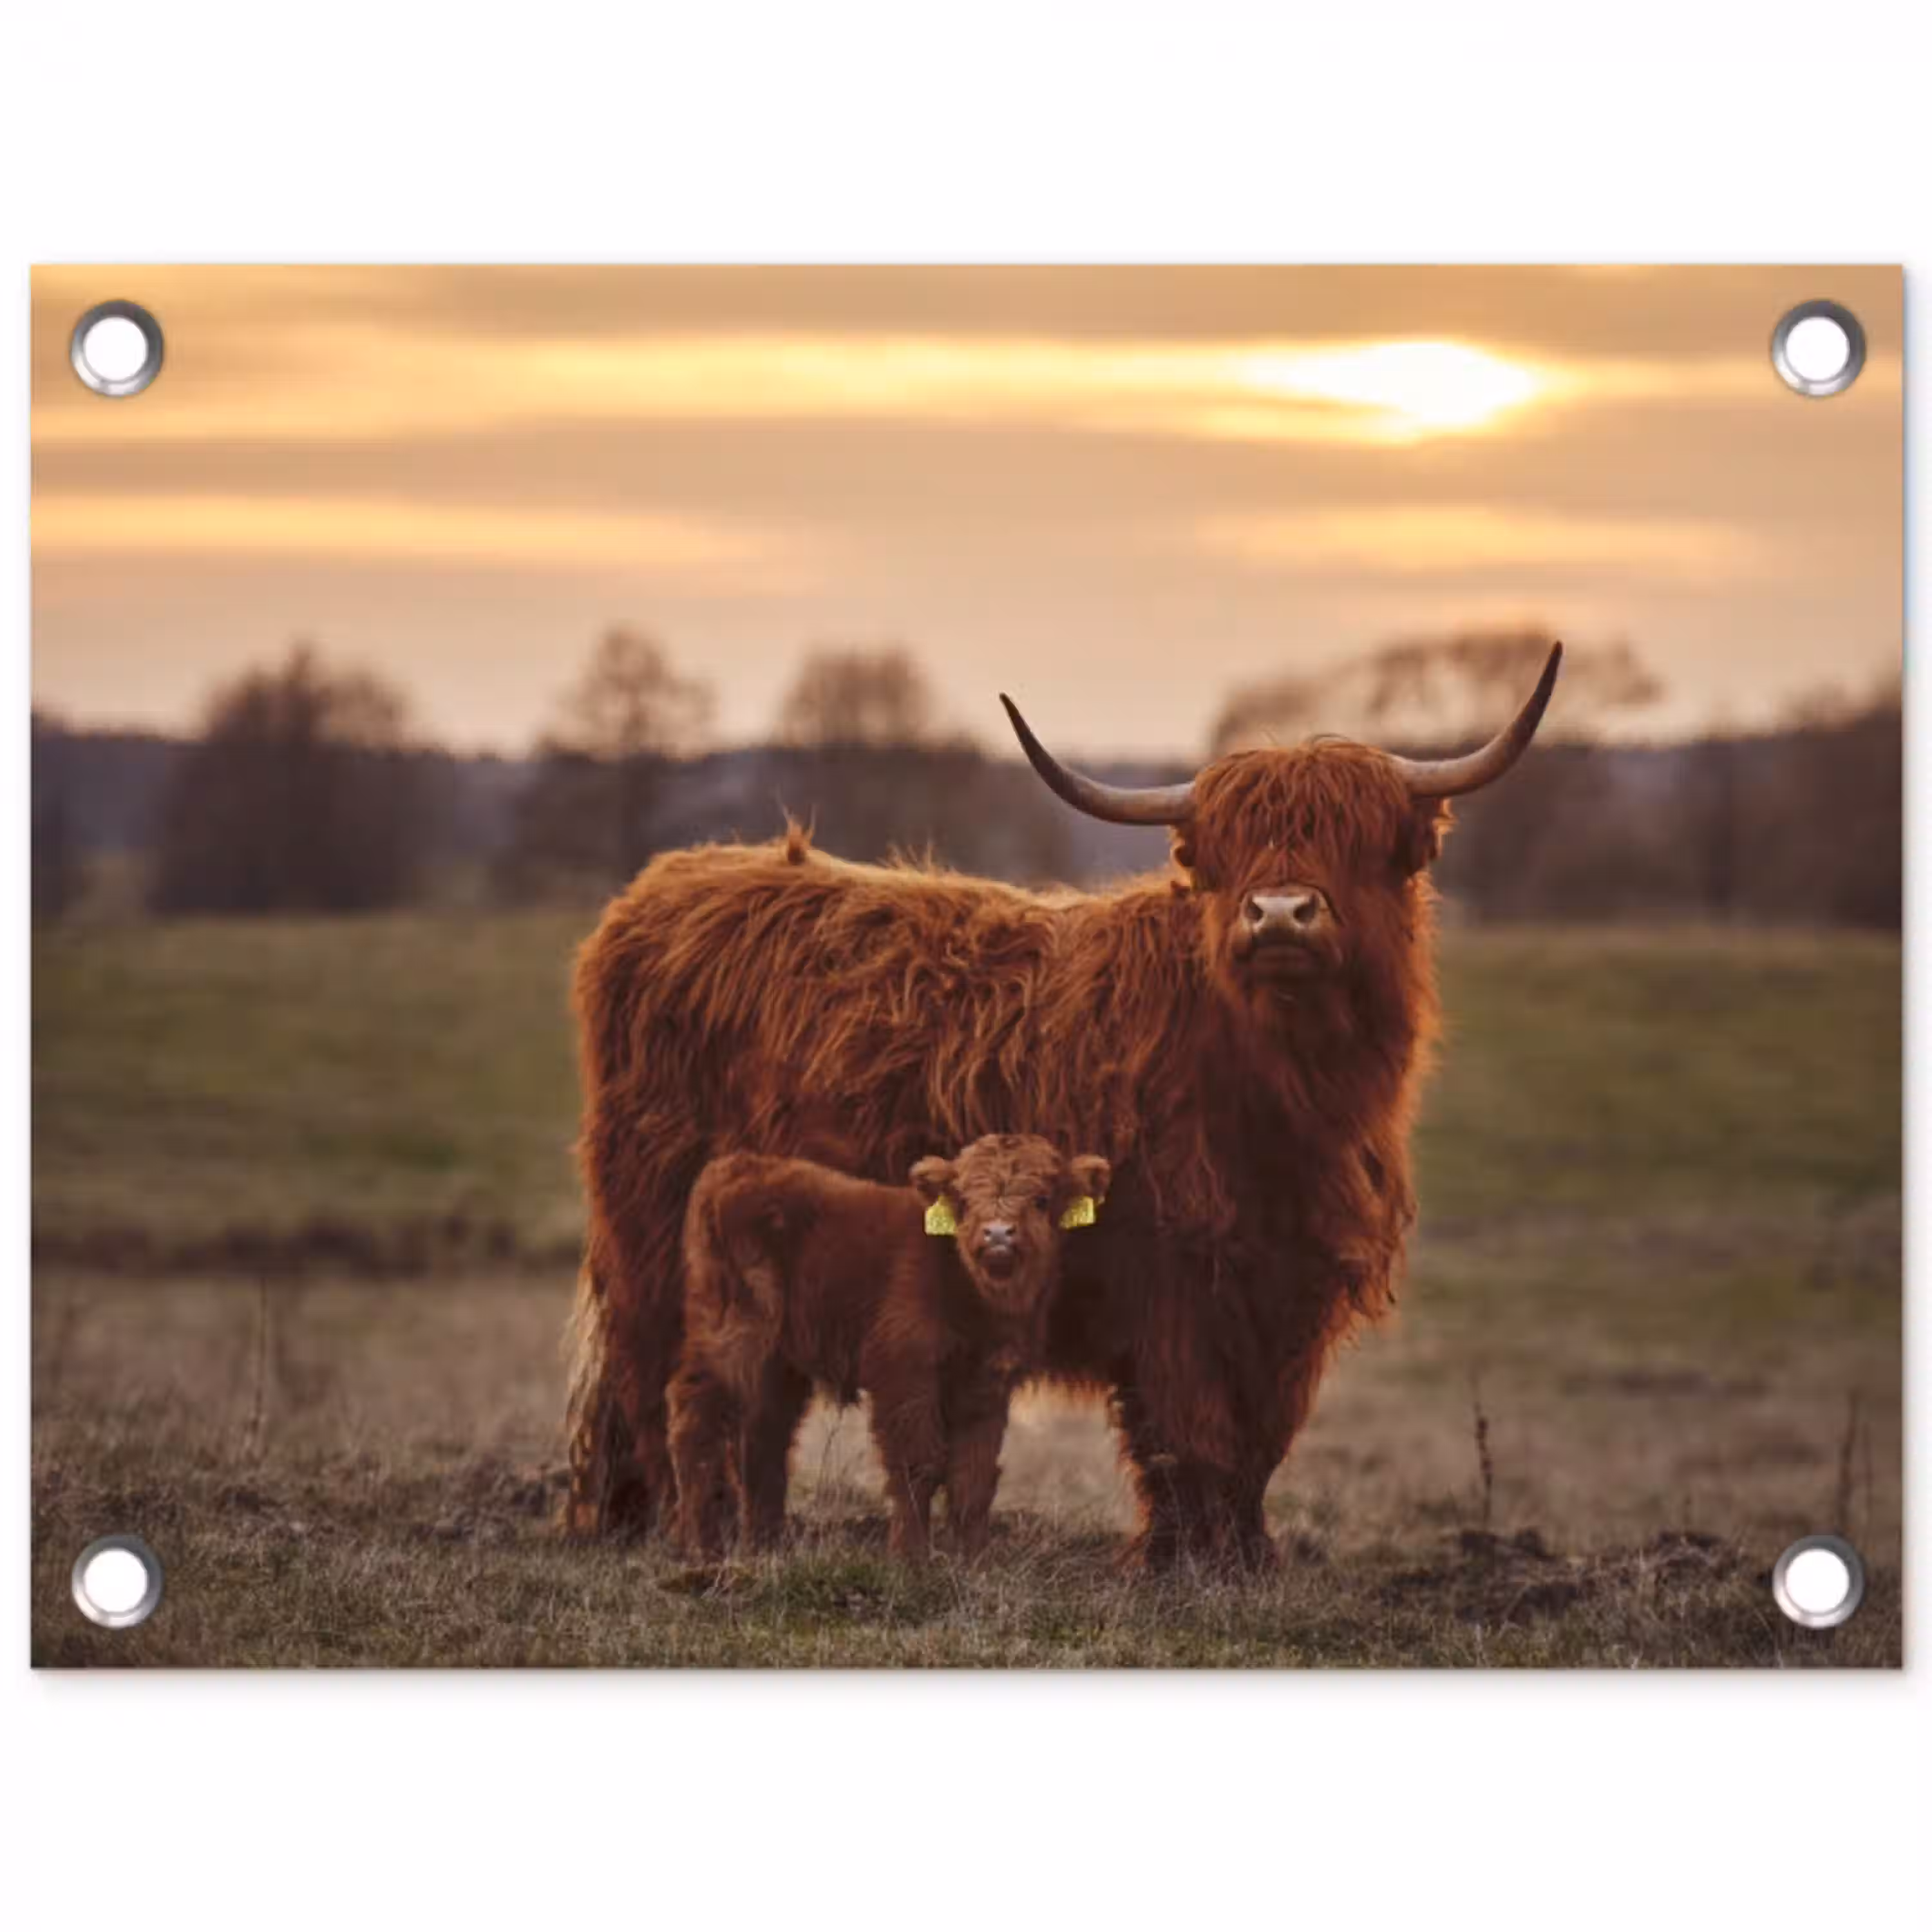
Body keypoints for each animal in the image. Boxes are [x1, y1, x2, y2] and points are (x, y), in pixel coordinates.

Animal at [668, 1134, 1111, 1562]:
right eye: (965, 1200)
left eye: (1042, 1199)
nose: (998, 1233)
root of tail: (736, 1166)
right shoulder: (905, 1371)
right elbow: (918, 1465)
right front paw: (909, 1559)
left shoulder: (987, 1384)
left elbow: (974, 1475)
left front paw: (974, 1561)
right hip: (733, 1336)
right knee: (696, 1417)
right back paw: (702, 1548)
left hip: (778, 1361)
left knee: (765, 1436)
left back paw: (766, 1546)